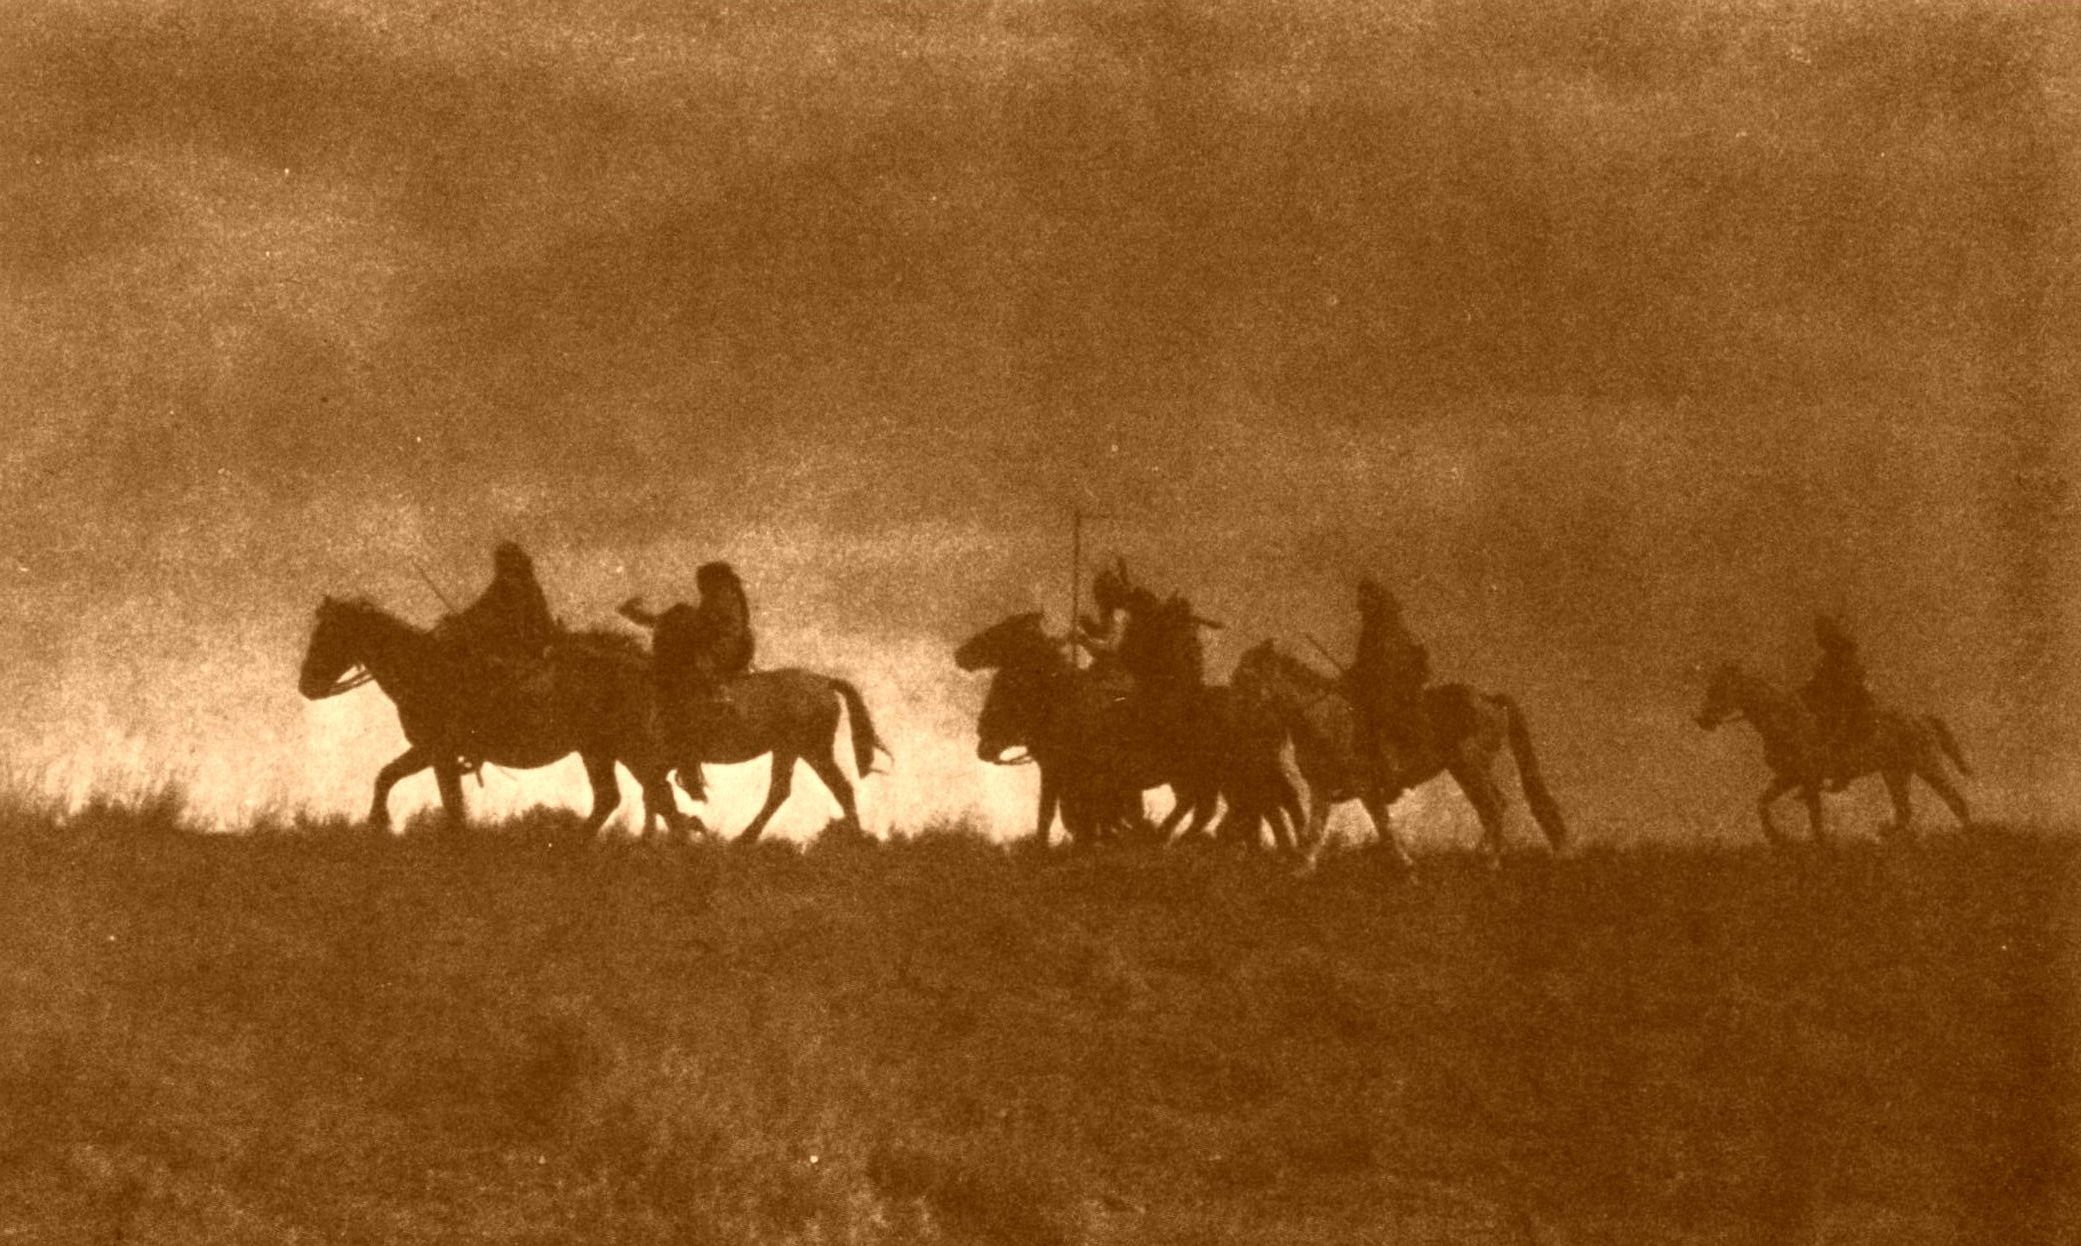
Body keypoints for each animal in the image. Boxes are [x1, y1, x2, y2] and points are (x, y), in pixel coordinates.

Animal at [298, 595, 689, 838]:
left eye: (328, 635)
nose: (306, 686)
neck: (424, 669)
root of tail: (640, 664)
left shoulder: (438, 752)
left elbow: (448, 803)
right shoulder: (430, 752)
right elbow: (390, 777)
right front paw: (378, 822)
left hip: (624, 747)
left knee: (654, 794)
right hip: (599, 751)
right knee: (624, 797)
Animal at [663, 668, 891, 844]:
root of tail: (824, 682)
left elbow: (661, 799)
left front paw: (686, 830)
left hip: (804, 748)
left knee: (802, 790)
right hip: (796, 750)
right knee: (822, 789)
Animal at [955, 612, 1304, 851]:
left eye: (1001, 630)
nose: (961, 655)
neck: (1065, 700)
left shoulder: (1063, 773)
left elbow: (1054, 815)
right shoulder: (1080, 779)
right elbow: (1073, 815)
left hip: (1223, 774)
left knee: (1245, 807)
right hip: (1211, 776)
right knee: (1235, 808)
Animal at [1230, 640, 1568, 869]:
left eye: (1247, 675)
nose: (1235, 712)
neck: (1324, 718)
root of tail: (1489, 699)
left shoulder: (1366, 788)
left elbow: (1384, 827)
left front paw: (1407, 867)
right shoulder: (1320, 788)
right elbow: (1314, 830)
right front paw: (1303, 871)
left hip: (1470, 766)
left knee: (1493, 808)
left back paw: (1491, 864)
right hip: (1466, 769)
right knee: (1494, 806)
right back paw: (1480, 856)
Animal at [1692, 661, 1972, 846]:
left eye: (1719, 689)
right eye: (1709, 688)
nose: (1701, 720)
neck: (1782, 720)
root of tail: (1921, 719)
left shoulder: (1808, 779)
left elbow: (1815, 817)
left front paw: (1819, 844)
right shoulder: (1788, 778)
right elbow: (1762, 803)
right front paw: (1777, 838)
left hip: (1927, 766)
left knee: (1956, 802)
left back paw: (1967, 835)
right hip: (1895, 773)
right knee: (1905, 812)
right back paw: (1884, 834)